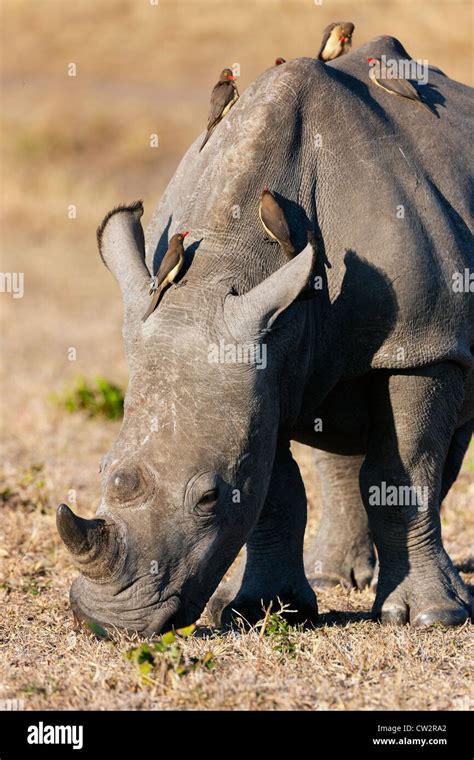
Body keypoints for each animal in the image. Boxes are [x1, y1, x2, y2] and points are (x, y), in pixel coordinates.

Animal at [56, 35, 474, 632]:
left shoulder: (421, 343)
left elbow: (403, 473)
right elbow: (276, 492)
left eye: (209, 498)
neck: (224, 266)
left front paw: (432, 618)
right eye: (102, 469)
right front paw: (261, 608)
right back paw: (331, 578)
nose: (107, 622)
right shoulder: (261, 356)